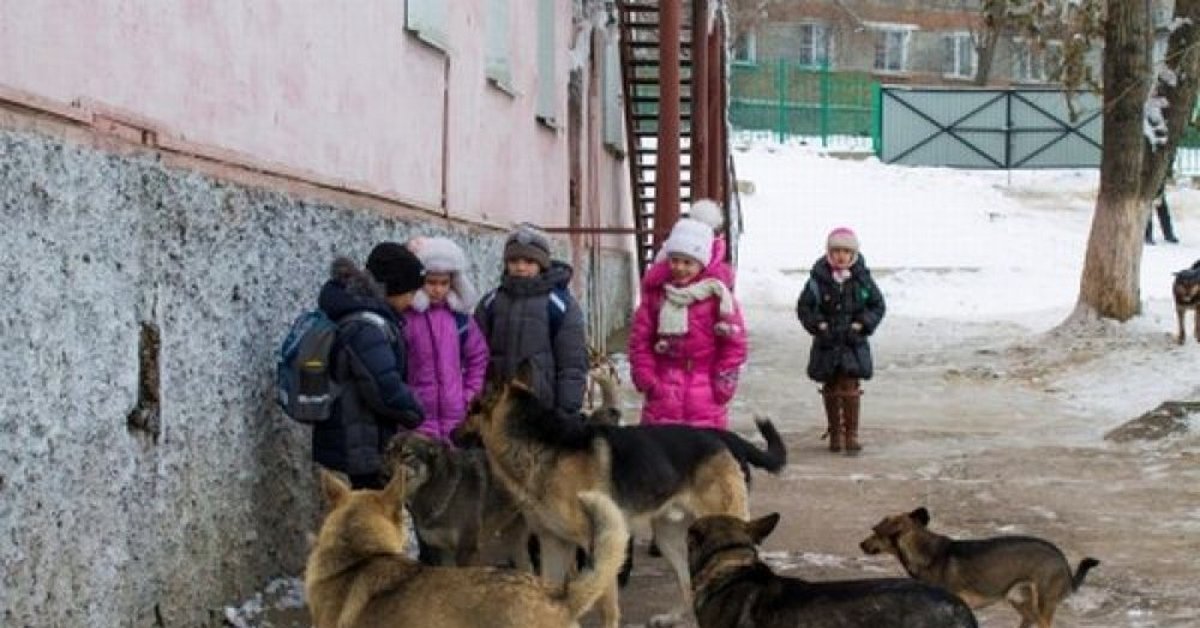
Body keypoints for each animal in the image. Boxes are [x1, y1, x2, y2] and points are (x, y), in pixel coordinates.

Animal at [386, 434, 532, 571]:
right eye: (387, 453)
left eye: (407, 455)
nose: (384, 473)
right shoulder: (442, 551)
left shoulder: (466, 550)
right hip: (513, 540)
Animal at [463, 369, 792, 628]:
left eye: (470, 409)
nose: (453, 431)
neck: (544, 444)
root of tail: (726, 437)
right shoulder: (553, 544)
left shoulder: (601, 544)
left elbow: (607, 607)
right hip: (671, 536)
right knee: (686, 582)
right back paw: (671, 618)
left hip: (725, 524)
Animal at [859, 506, 1099, 628]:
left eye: (875, 531)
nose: (861, 544)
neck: (923, 550)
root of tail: (1062, 558)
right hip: (1019, 600)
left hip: (1043, 603)